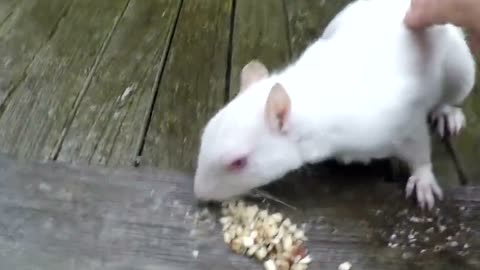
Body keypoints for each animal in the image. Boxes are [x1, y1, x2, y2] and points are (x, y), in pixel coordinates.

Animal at [192, 0, 476, 210]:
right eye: (203, 138)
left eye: (239, 162)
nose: (200, 195)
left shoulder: (401, 118)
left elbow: (417, 147)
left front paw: (423, 179)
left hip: (459, 67)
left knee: (451, 94)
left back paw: (448, 112)